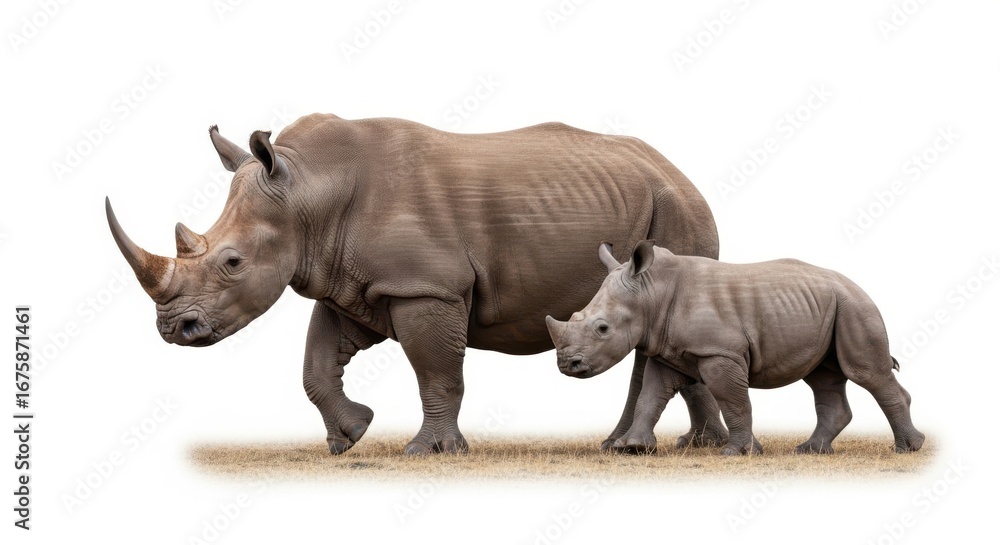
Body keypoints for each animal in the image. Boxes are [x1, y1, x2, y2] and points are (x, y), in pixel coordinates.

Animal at [105, 114, 728, 455]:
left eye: (233, 262)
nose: (173, 329)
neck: (307, 190)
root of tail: (678, 171)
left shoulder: (425, 286)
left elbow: (436, 371)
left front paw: (430, 451)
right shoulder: (353, 284)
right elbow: (315, 366)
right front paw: (350, 436)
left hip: (677, 209)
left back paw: (653, 447)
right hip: (657, 204)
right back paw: (685, 447)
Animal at [546, 241, 925, 455]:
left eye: (603, 328)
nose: (567, 365)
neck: (651, 292)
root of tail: (857, 284)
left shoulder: (718, 352)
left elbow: (731, 400)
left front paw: (738, 452)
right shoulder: (664, 350)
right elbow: (650, 397)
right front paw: (633, 449)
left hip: (855, 306)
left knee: (865, 372)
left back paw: (907, 449)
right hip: (828, 305)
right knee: (823, 377)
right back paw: (810, 451)